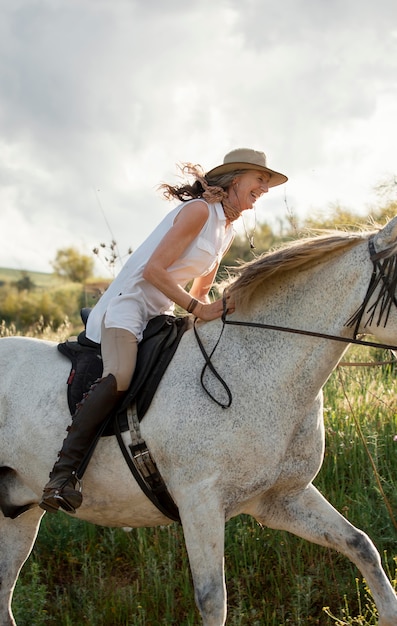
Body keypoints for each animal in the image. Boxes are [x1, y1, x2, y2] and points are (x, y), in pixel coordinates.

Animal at [0, 216, 396, 624]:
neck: (254, 367)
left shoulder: (282, 499)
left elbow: (360, 544)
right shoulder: (200, 503)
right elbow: (212, 599)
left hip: (18, 516)